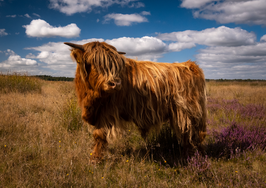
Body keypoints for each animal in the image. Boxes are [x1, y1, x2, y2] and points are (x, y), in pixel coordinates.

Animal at [65, 40, 208, 163]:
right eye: (94, 62)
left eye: (116, 66)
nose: (116, 83)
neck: (90, 96)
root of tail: (190, 65)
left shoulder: (106, 112)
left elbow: (99, 135)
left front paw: (95, 159)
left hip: (187, 112)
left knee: (191, 134)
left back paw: (192, 158)